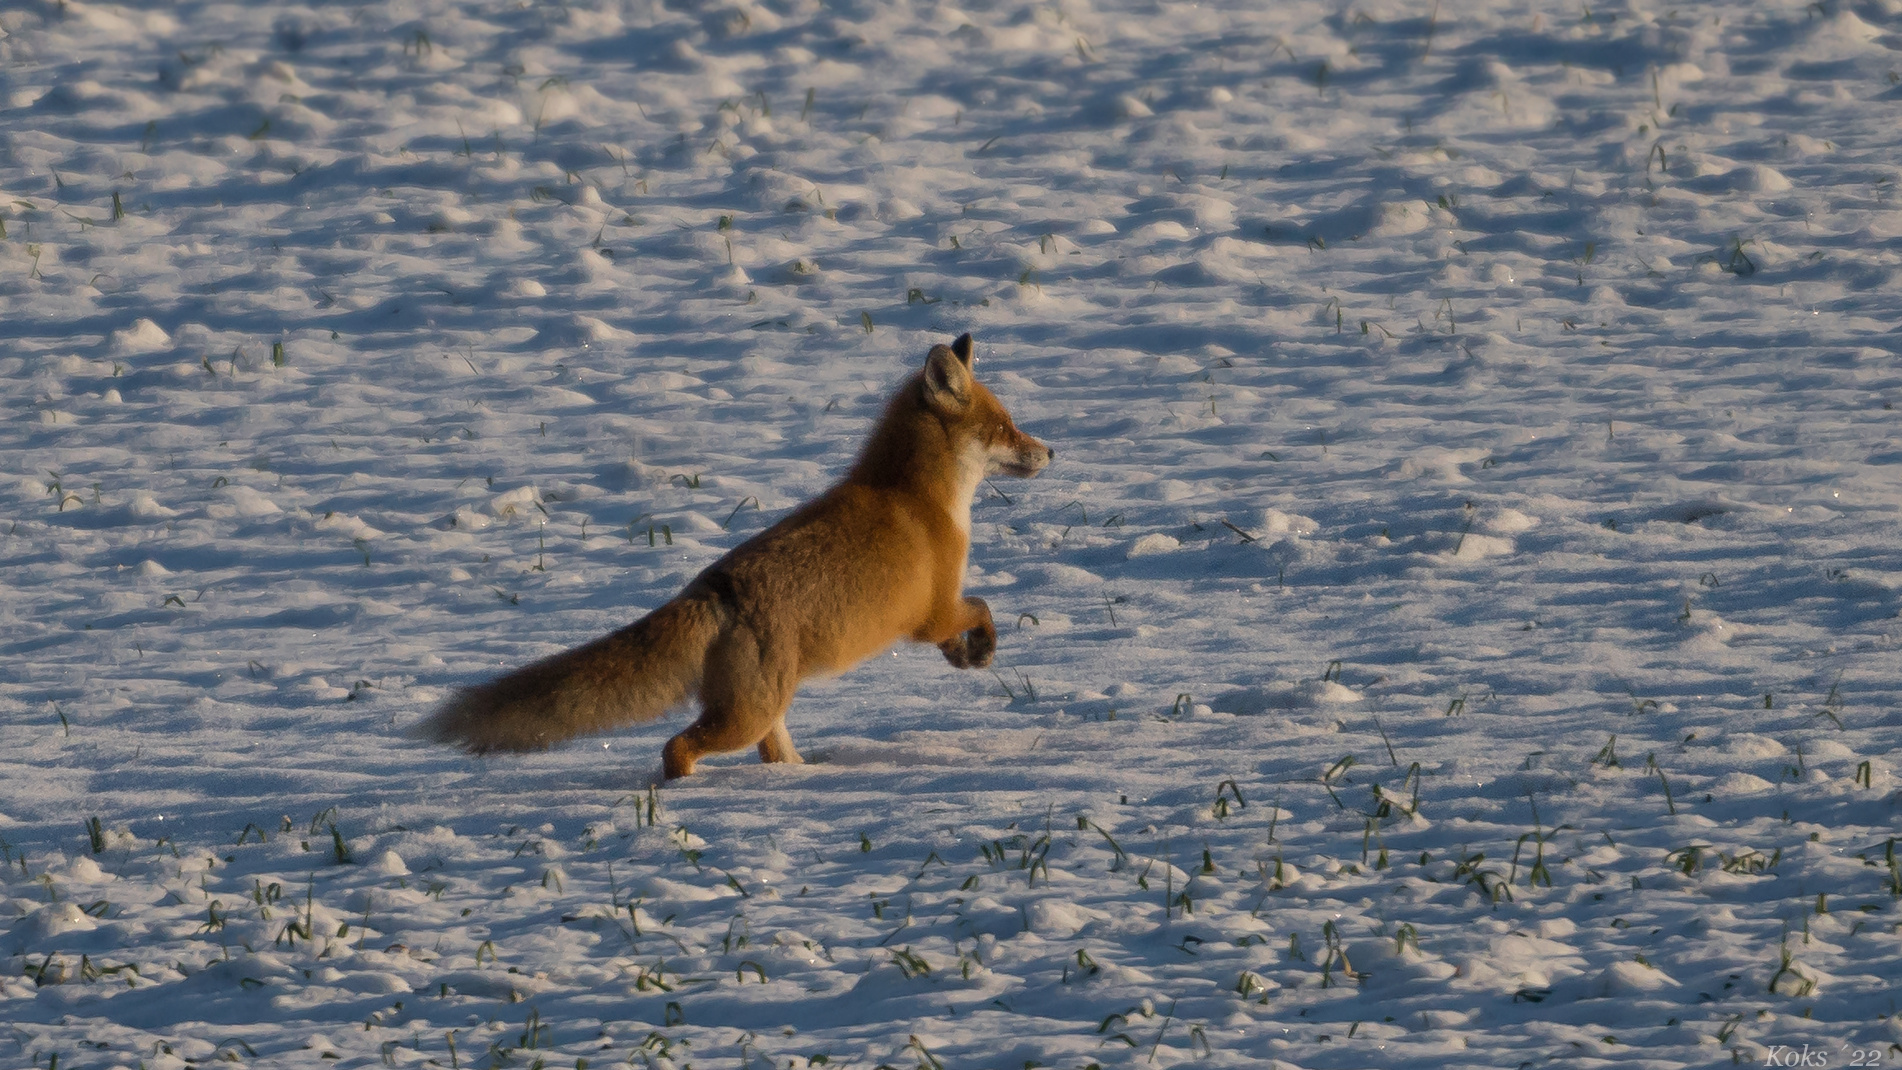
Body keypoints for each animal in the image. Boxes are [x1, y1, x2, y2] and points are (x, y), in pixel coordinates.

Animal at [410, 334, 1057, 779]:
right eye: (1005, 428)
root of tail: (711, 589)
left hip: (765, 710)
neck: (918, 497)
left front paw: (964, 658)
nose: (1052, 451)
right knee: (676, 746)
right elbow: (983, 607)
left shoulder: (933, 614)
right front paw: (982, 652)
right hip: (747, 715)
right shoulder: (931, 611)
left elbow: (963, 628)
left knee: (770, 755)